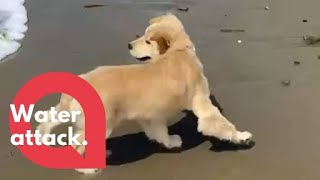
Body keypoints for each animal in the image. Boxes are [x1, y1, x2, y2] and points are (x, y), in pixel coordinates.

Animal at [37, 13, 252, 174]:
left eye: (147, 40)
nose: (129, 45)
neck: (178, 51)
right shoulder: (202, 102)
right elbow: (220, 123)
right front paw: (241, 137)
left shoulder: (151, 115)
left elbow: (160, 131)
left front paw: (170, 142)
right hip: (102, 124)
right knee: (77, 146)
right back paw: (88, 168)